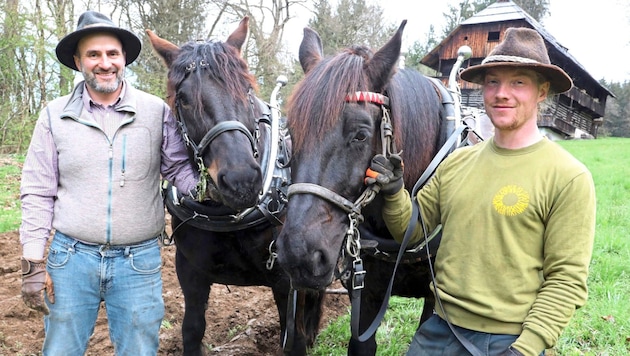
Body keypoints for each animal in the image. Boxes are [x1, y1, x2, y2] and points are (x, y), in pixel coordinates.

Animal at [148, 17, 324, 356]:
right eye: (184, 99)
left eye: (246, 89)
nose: (242, 180)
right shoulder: (190, 272)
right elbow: (192, 330)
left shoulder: (286, 280)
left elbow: (292, 338)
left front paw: (304, 336)